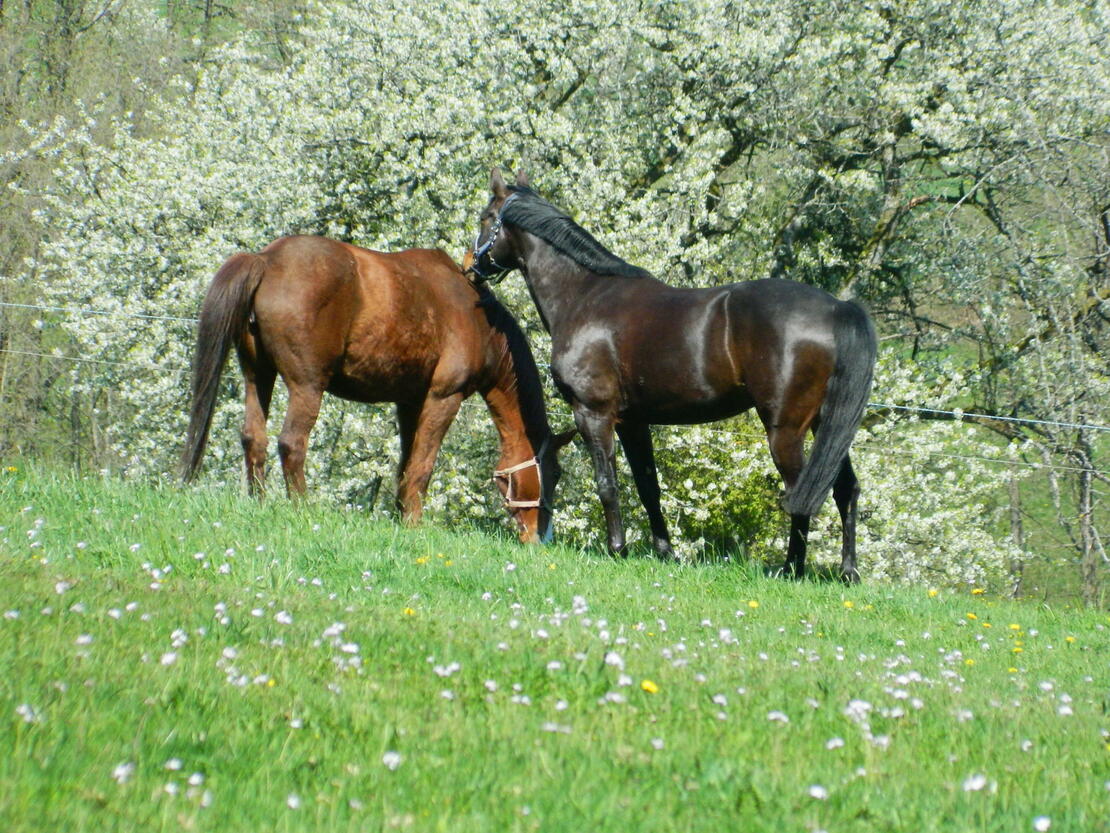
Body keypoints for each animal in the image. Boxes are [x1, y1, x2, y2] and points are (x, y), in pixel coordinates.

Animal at [182, 234, 573, 543]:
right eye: (554, 474)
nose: (541, 538)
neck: (478, 317)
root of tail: (267, 260)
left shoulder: (409, 402)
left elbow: (406, 465)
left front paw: (403, 518)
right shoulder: (443, 399)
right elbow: (423, 466)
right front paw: (415, 525)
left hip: (258, 376)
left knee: (254, 438)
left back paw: (259, 503)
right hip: (307, 386)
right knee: (291, 443)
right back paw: (303, 508)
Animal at [468, 169, 877, 580]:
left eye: (487, 217)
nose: (472, 268)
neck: (585, 296)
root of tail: (837, 308)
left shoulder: (593, 414)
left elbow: (608, 484)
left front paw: (617, 549)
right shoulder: (632, 421)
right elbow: (649, 487)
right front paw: (665, 552)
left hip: (785, 430)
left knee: (801, 492)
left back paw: (792, 568)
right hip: (824, 422)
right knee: (845, 488)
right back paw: (848, 571)